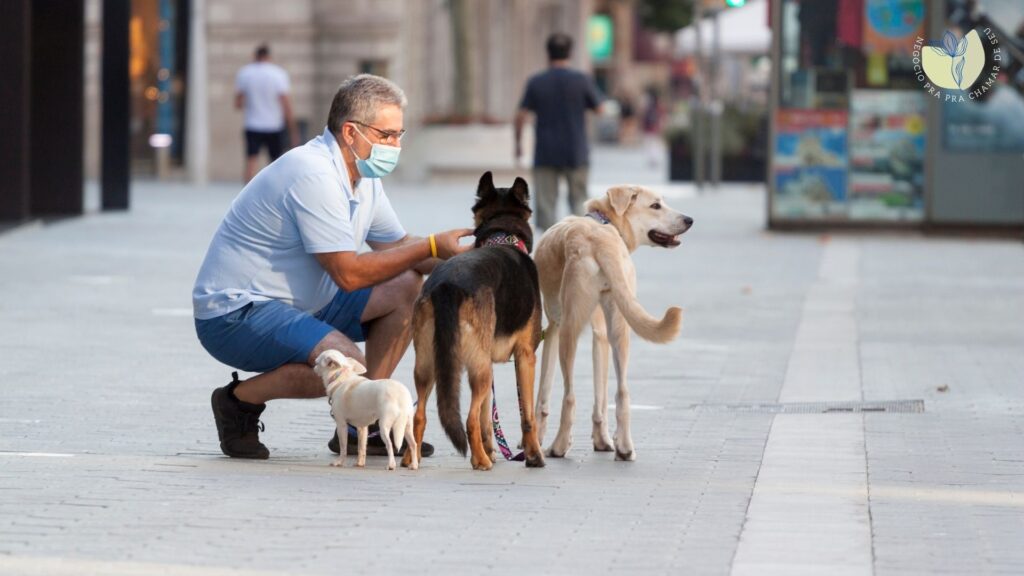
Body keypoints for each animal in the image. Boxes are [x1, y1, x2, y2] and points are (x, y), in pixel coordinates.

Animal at [532, 186, 692, 459]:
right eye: (656, 205)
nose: (689, 220)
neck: (605, 222)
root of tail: (601, 242)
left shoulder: (552, 329)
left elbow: (543, 393)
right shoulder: (601, 334)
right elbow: (601, 395)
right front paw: (603, 440)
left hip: (569, 330)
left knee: (570, 396)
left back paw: (559, 446)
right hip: (619, 328)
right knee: (622, 392)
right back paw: (624, 447)